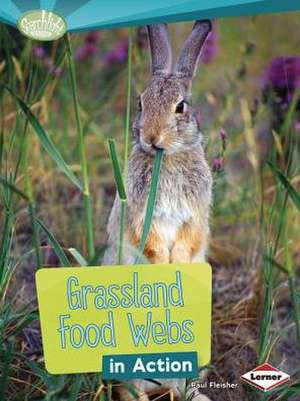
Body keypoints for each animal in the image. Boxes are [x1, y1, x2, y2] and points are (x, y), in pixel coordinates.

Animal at [103, 20, 213, 400]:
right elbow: (149, 240)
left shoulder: (195, 215)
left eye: (181, 106)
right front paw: (163, 266)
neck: (168, 157)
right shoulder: (138, 214)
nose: (151, 138)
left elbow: (188, 240)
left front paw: (176, 265)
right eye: (140, 102)